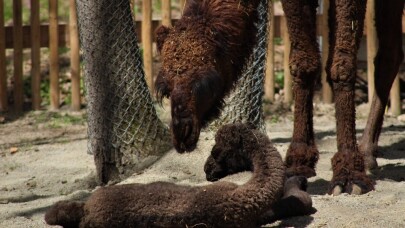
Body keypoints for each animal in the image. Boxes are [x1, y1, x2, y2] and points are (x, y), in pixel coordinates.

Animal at [282, 0, 402, 196]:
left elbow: (342, 64)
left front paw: (348, 174)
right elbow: (303, 63)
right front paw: (298, 161)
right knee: (391, 54)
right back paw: (367, 152)